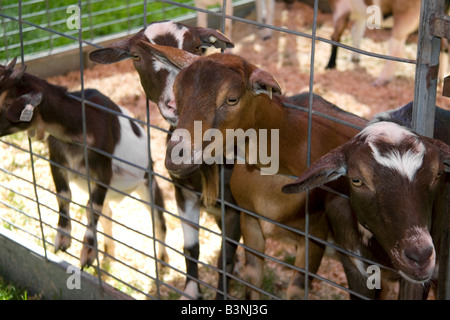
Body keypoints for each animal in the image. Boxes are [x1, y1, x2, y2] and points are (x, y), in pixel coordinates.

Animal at [0, 57, 168, 270]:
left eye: (7, 104)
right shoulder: (56, 162)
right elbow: (63, 196)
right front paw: (63, 239)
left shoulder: (103, 173)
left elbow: (91, 209)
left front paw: (87, 253)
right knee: (108, 214)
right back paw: (108, 253)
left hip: (148, 183)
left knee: (159, 222)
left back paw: (162, 263)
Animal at [89, 20, 241, 300]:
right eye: (136, 56)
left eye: (197, 48)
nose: (176, 104)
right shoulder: (183, 193)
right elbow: (191, 248)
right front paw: (191, 291)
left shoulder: (235, 207)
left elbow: (224, 258)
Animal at [143, 42, 372, 298]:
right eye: (177, 92)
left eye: (232, 99)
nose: (176, 156)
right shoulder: (249, 222)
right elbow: (251, 279)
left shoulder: (314, 233)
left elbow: (294, 290)